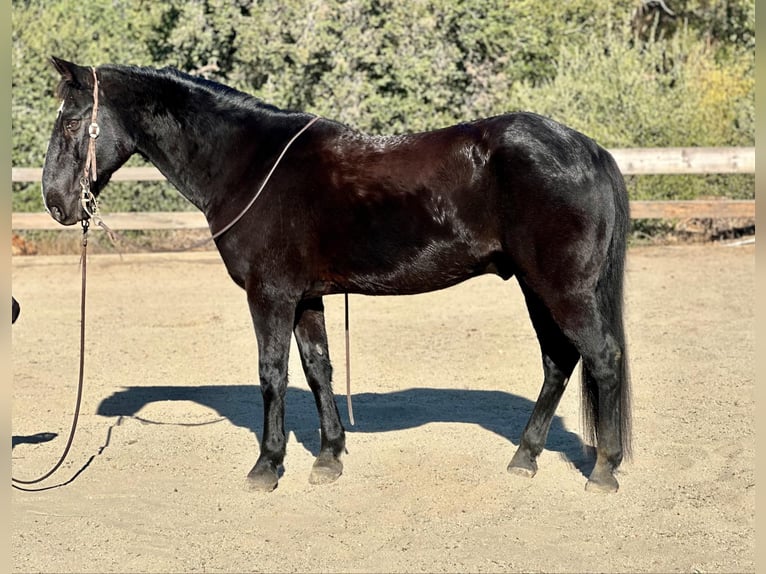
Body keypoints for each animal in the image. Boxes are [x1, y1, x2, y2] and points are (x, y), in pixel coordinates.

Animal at [41, 56, 631, 493]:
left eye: (71, 120)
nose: (55, 202)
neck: (250, 165)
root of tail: (587, 149)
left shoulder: (271, 296)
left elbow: (272, 373)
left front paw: (267, 465)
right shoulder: (306, 298)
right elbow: (317, 369)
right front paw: (328, 456)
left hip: (563, 288)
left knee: (601, 358)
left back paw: (603, 469)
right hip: (536, 287)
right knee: (559, 362)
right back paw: (525, 457)